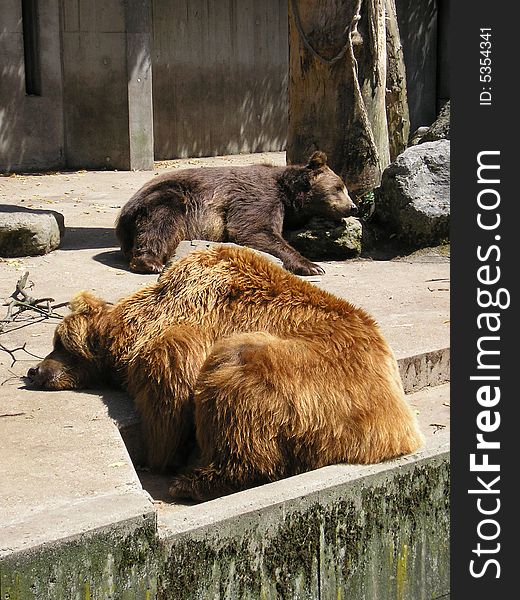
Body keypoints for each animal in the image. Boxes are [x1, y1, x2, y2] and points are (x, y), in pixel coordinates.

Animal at [27, 244, 422, 502]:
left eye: (58, 342)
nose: (33, 370)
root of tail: (398, 434)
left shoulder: (187, 322)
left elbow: (169, 386)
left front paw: (160, 454)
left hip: (307, 378)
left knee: (235, 387)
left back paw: (194, 482)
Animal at [116, 152, 356, 278]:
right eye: (339, 187)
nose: (353, 207)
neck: (287, 194)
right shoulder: (258, 197)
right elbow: (254, 229)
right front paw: (312, 266)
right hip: (169, 197)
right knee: (161, 221)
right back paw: (150, 262)